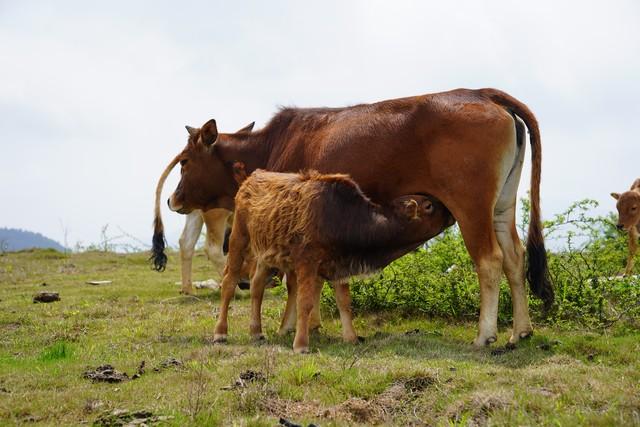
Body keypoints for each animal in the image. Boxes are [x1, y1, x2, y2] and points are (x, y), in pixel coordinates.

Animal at [215, 169, 456, 352]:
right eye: (429, 206)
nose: (451, 211)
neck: (341, 218)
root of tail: (252, 177)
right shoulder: (307, 264)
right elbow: (305, 302)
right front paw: (301, 344)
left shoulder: (340, 265)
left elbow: (344, 303)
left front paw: (351, 338)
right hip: (239, 240)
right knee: (228, 283)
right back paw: (220, 333)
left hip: (265, 255)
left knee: (256, 287)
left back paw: (256, 332)